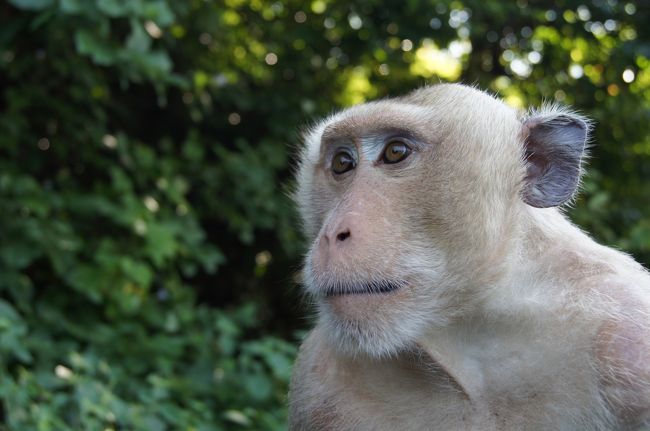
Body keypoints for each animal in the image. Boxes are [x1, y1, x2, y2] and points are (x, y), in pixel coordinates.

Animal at [288, 84, 648, 431]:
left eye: (395, 152)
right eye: (342, 163)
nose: (333, 234)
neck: (470, 336)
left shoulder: (630, 340)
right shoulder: (316, 377)